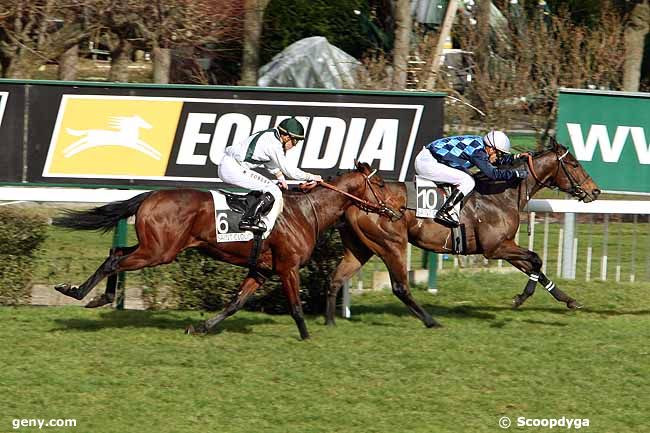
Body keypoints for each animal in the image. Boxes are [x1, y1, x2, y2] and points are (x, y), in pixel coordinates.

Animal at [326, 138, 600, 324]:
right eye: (574, 164)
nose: (595, 191)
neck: (501, 194)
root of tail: (357, 200)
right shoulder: (495, 248)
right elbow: (536, 259)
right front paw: (521, 297)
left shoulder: (506, 245)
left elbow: (536, 267)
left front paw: (569, 300)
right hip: (390, 244)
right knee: (400, 286)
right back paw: (430, 321)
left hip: (361, 248)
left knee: (337, 278)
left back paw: (331, 320)